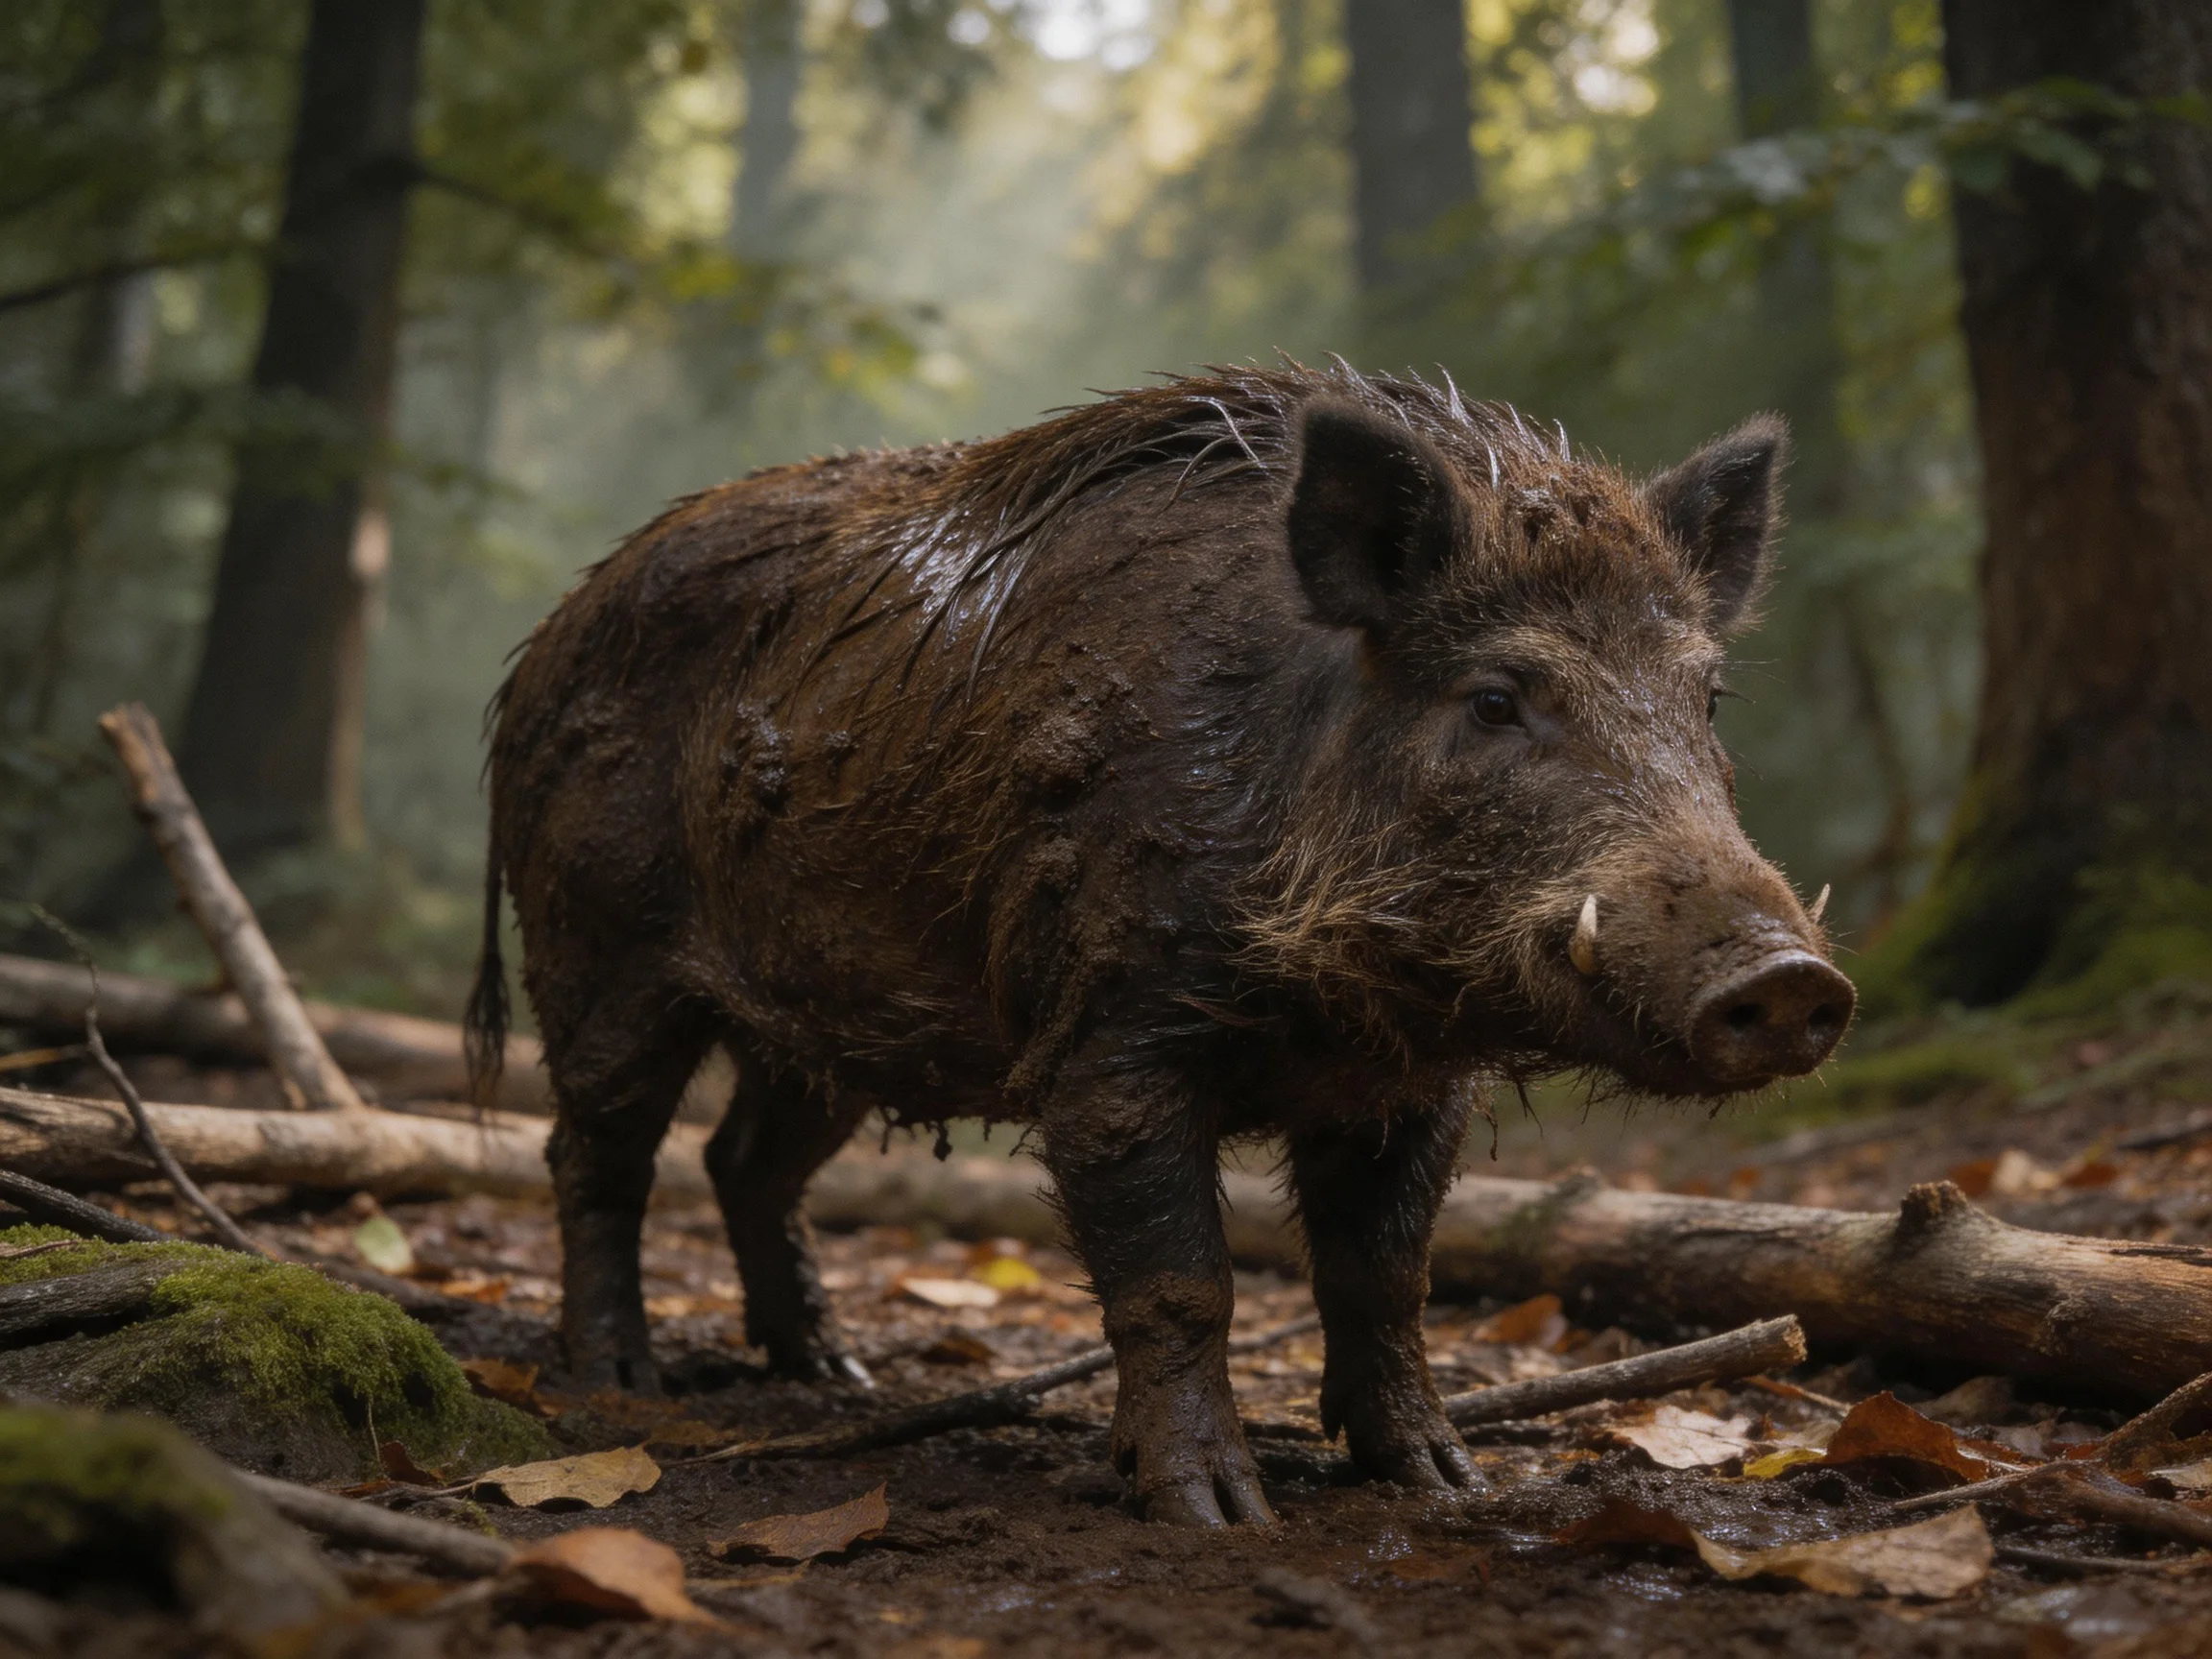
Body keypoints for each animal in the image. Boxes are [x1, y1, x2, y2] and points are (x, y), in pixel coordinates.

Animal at [466, 364, 1853, 1527]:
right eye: (1497, 699)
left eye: (1706, 698)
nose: (1790, 979)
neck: (1336, 1009)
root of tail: (532, 655)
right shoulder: (1108, 1038)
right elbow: (1182, 1278)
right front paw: (1219, 1516)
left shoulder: (1416, 1088)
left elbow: (1384, 1275)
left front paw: (1444, 1483)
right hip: (597, 950)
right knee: (595, 1153)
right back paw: (624, 1375)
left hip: (828, 1022)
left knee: (746, 1160)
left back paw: (835, 1372)